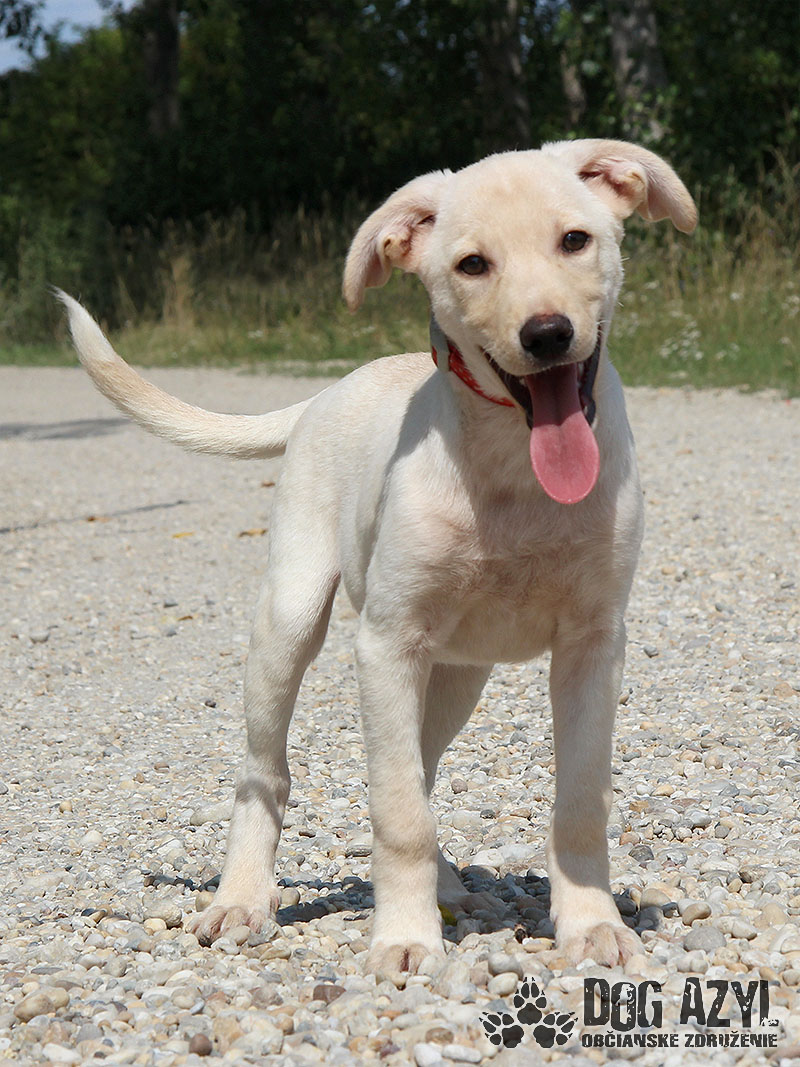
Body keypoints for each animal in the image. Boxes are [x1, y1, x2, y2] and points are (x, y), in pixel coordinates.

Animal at [60, 138, 696, 977]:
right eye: (472, 264)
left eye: (574, 240)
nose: (548, 334)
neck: (512, 470)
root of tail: (328, 390)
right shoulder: (387, 643)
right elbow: (399, 812)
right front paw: (404, 937)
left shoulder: (594, 643)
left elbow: (580, 800)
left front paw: (591, 923)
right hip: (291, 620)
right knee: (266, 774)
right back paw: (242, 898)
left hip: (457, 674)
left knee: (419, 763)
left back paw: (446, 883)